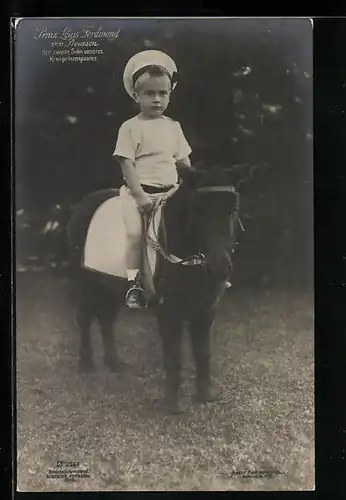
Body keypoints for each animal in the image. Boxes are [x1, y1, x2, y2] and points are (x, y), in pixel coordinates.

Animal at [66, 168, 242, 414]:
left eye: (232, 209)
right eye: (198, 209)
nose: (219, 267)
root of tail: (83, 204)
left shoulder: (206, 311)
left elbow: (202, 352)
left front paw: (205, 394)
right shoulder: (169, 312)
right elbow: (174, 357)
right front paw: (173, 404)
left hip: (109, 287)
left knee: (106, 320)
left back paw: (113, 363)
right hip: (86, 284)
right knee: (84, 319)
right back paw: (86, 364)